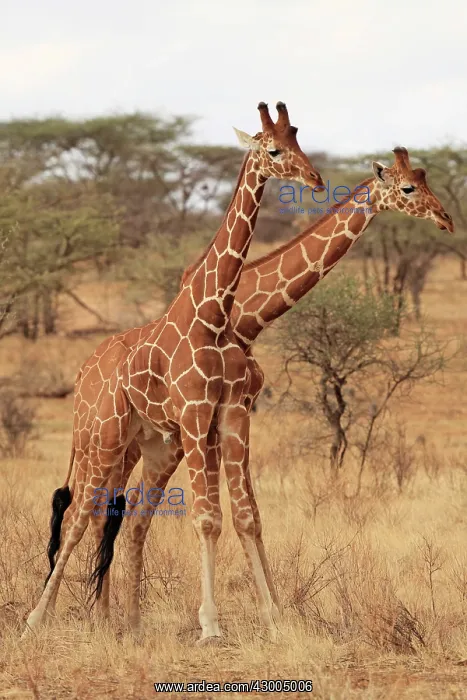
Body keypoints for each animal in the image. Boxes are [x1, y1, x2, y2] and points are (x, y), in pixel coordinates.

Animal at [25, 101, 324, 642]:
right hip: (103, 437)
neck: (212, 311)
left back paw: (115, 622)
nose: (314, 178)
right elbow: (207, 517)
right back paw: (38, 620)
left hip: (143, 445)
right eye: (272, 150)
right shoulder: (197, 413)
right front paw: (212, 626)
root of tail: (83, 373)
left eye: (298, 138)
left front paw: (270, 619)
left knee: (115, 516)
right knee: (79, 514)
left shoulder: (224, 414)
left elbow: (240, 514)